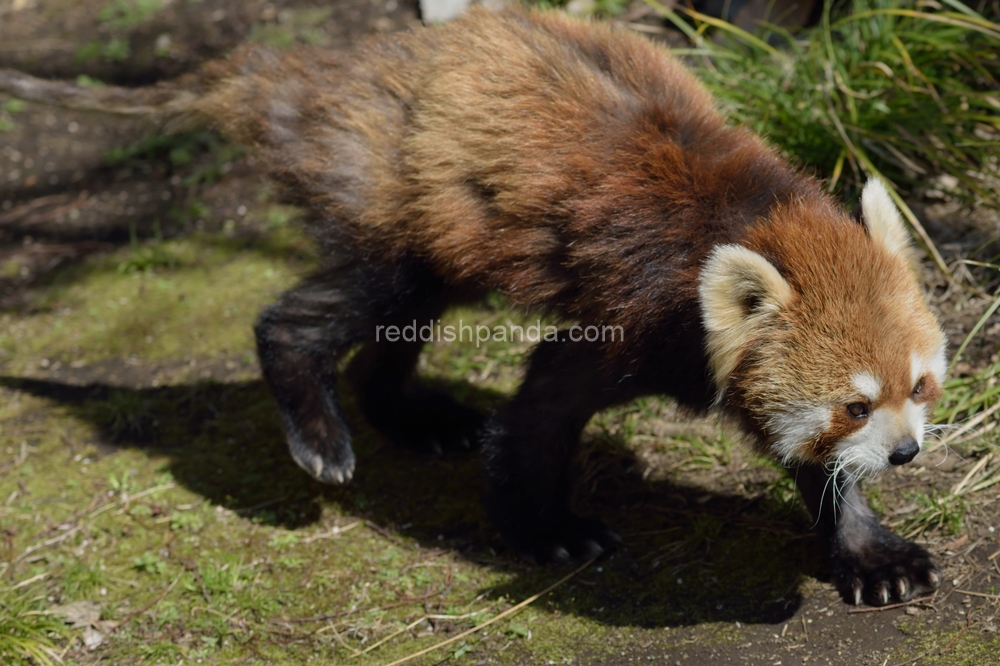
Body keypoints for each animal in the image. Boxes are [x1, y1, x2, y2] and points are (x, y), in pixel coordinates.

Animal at [0, 6, 944, 608]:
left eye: (920, 387)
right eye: (854, 404)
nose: (906, 453)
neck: (754, 218)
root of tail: (314, 76)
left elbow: (821, 474)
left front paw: (868, 550)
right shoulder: (642, 314)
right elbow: (543, 406)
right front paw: (546, 529)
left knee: (402, 322)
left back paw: (416, 419)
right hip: (389, 197)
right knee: (340, 308)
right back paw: (319, 429)